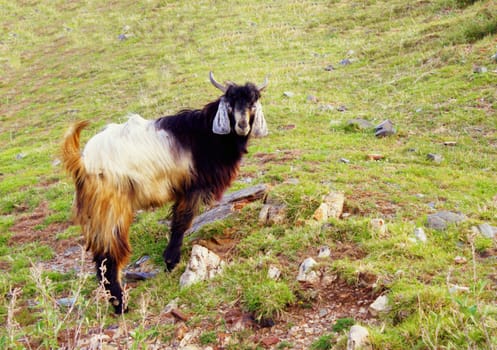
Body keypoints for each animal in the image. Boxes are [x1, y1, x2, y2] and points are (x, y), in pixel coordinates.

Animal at [63, 72, 268, 314]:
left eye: (253, 102)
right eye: (229, 102)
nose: (242, 125)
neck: (207, 133)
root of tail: (83, 162)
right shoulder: (192, 187)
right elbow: (182, 221)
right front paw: (171, 261)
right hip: (111, 208)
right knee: (108, 256)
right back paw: (120, 304)